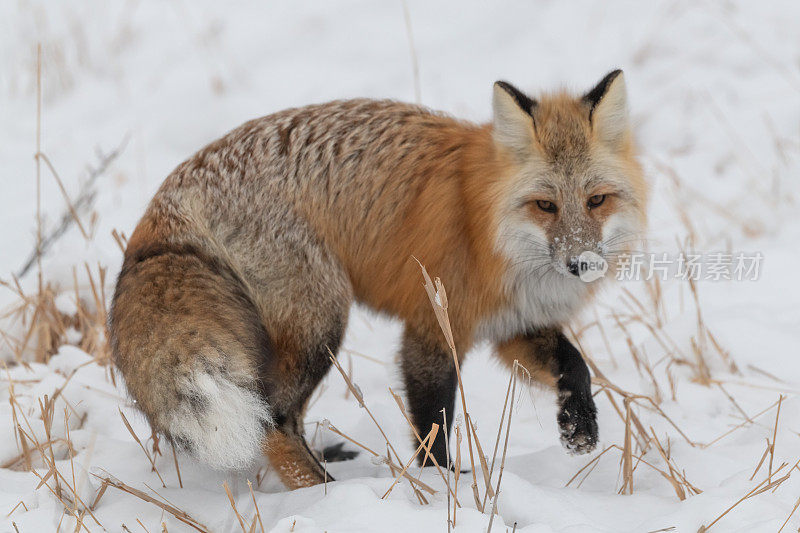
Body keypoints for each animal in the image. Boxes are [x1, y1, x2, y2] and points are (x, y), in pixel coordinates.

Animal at [111, 71, 648, 490]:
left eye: (597, 200)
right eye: (545, 205)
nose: (582, 263)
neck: (486, 227)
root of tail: (170, 193)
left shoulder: (515, 325)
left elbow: (576, 365)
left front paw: (579, 424)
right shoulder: (431, 327)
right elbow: (433, 422)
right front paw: (444, 486)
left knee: (276, 414)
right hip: (322, 324)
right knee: (275, 419)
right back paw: (324, 492)